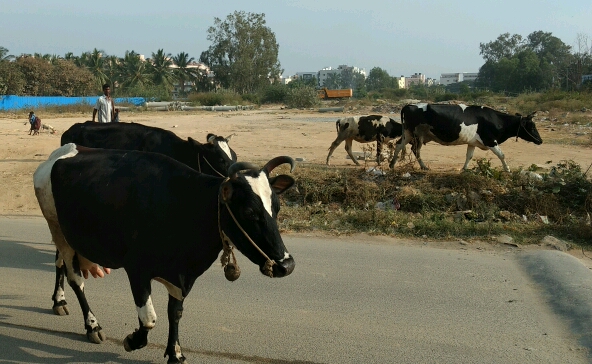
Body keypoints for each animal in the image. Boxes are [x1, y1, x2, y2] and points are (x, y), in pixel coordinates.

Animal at [33, 144, 296, 362]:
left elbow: (175, 313)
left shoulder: (181, 276)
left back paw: (59, 301)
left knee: (59, 264)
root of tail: (61, 153)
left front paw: (175, 353)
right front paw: (132, 340)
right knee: (76, 279)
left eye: (276, 207)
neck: (183, 205)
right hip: (58, 229)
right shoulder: (137, 270)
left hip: (65, 233)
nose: (286, 265)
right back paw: (92, 326)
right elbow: (148, 319)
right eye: (249, 211)